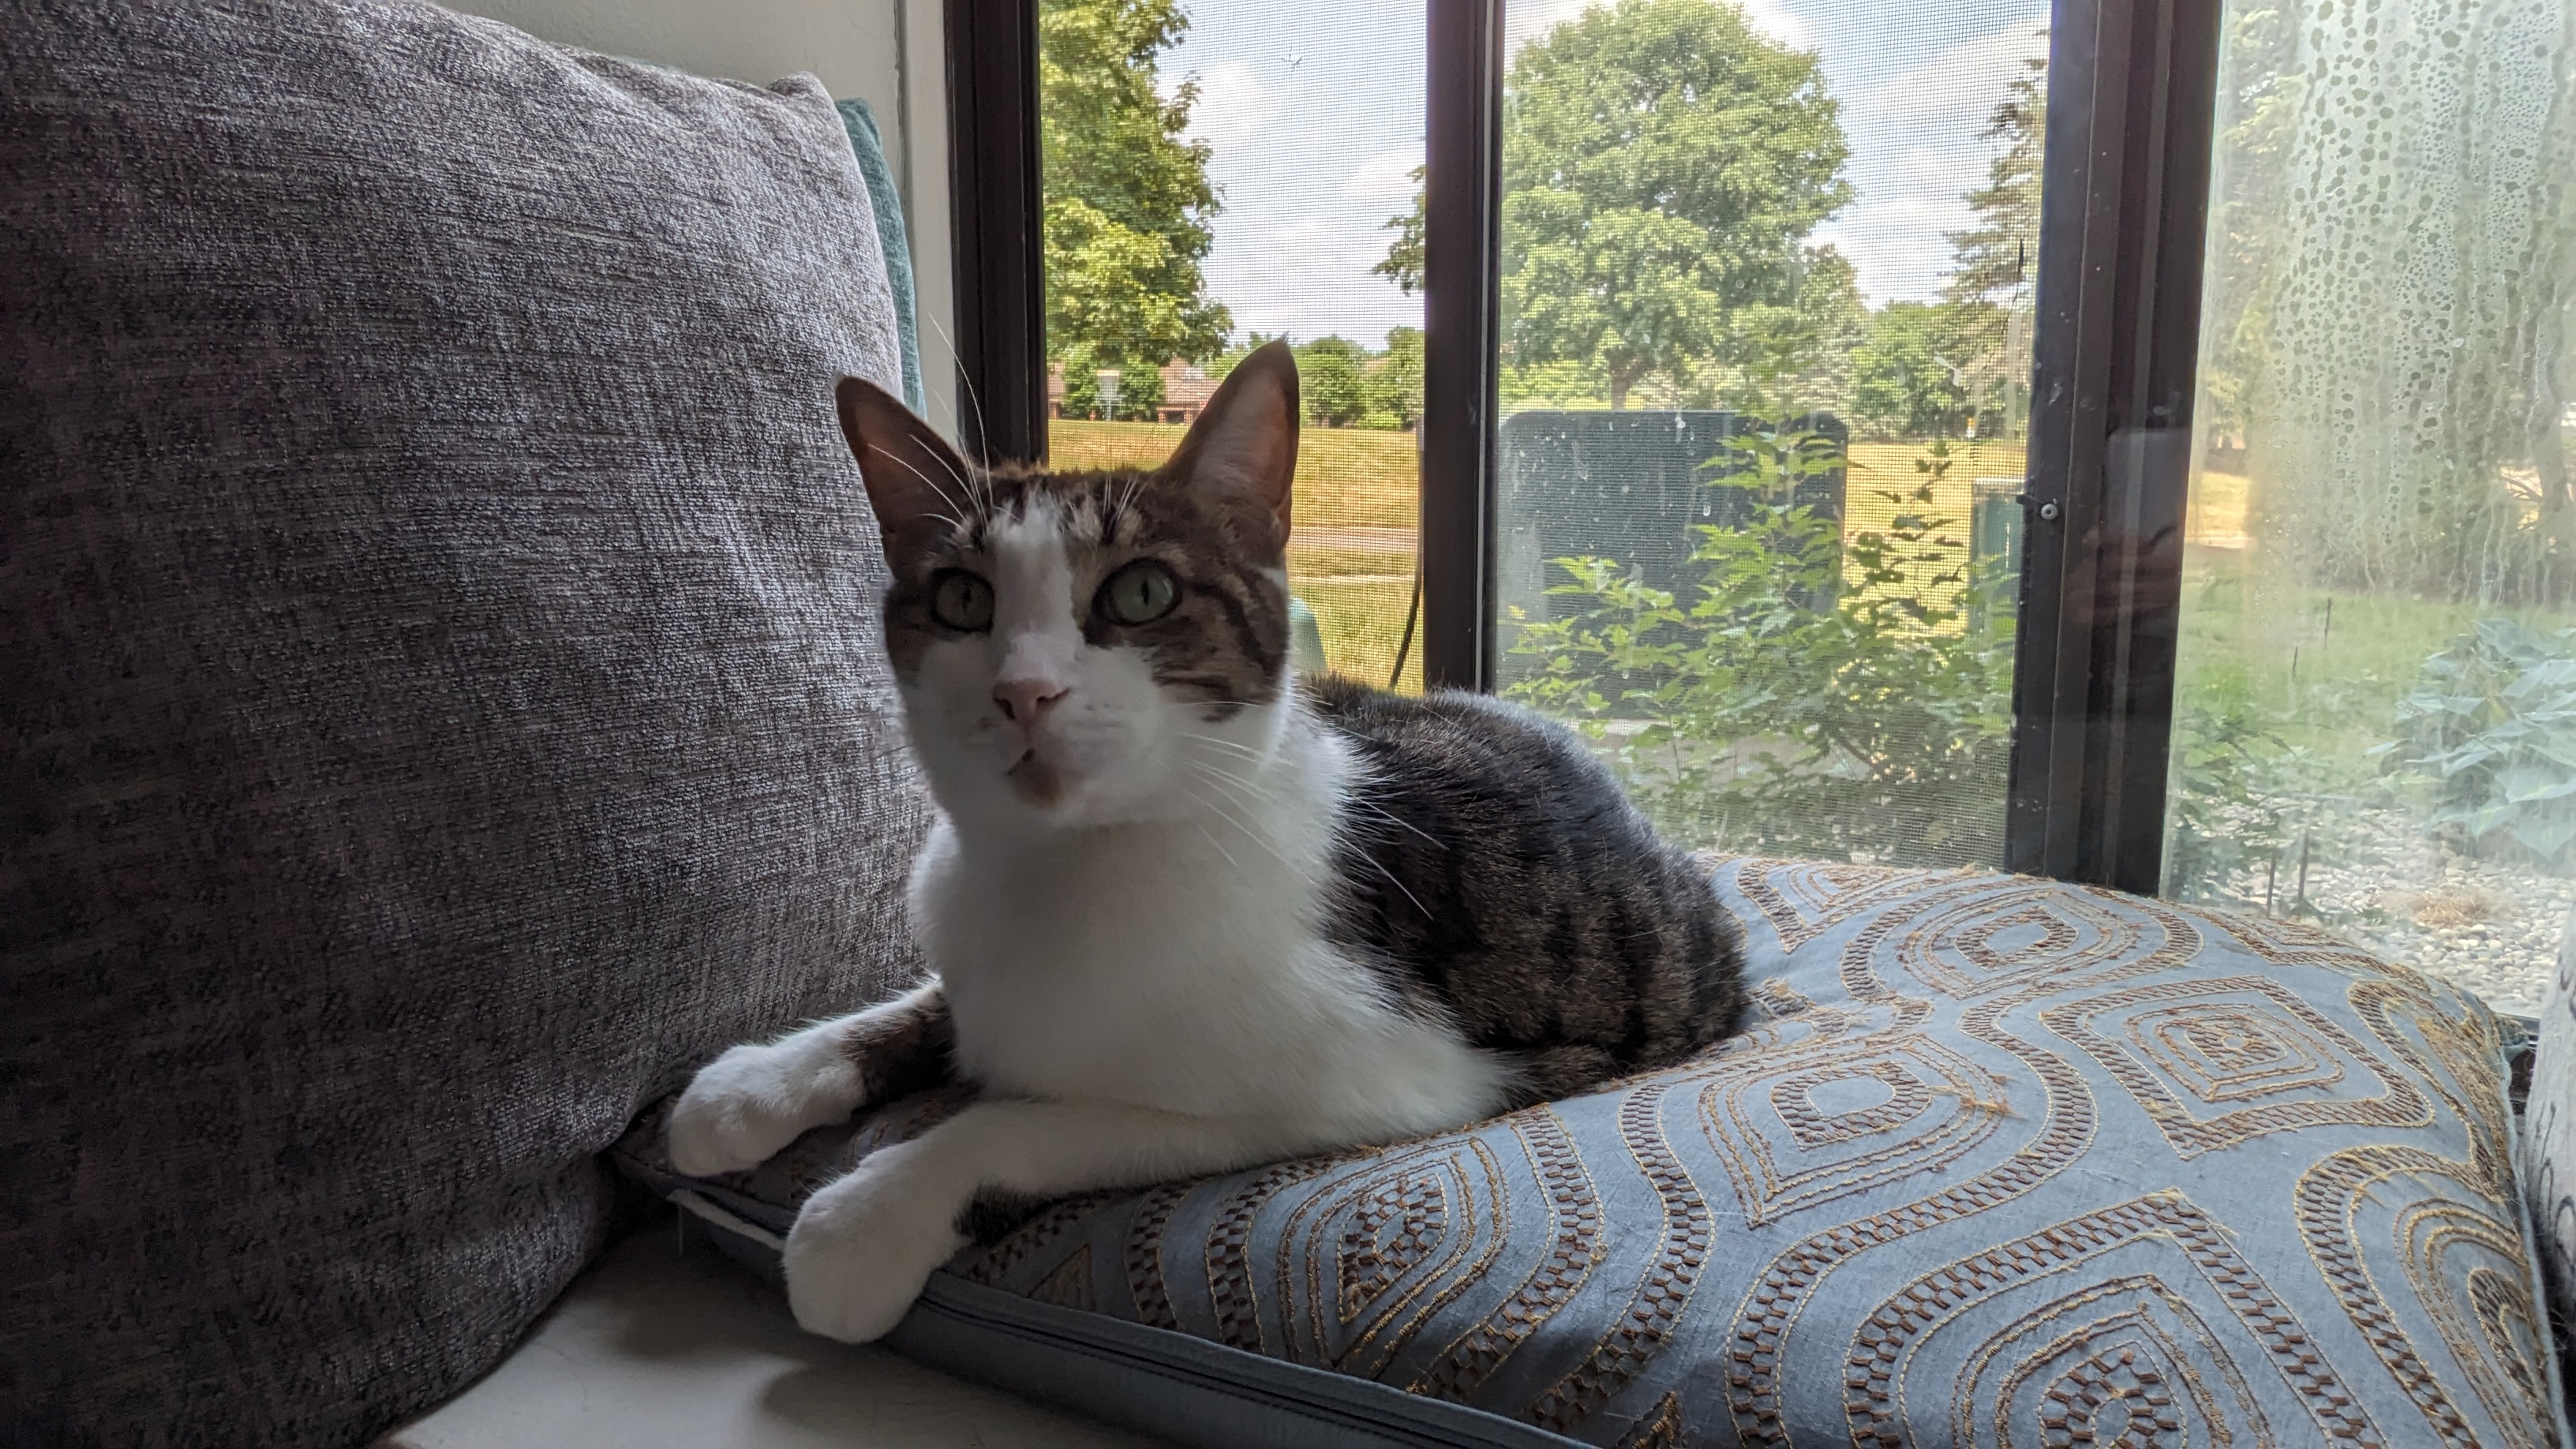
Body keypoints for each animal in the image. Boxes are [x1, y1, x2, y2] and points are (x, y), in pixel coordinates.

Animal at [665, 332, 1751, 1340]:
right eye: (962, 599)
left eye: (1142, 593)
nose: (1024, 691)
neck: (1066, 865)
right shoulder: (968, 948)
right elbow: (929, 1004)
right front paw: (754, 1087)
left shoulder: (1363, 1089)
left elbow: (1023, 1122)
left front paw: (869, 1219)